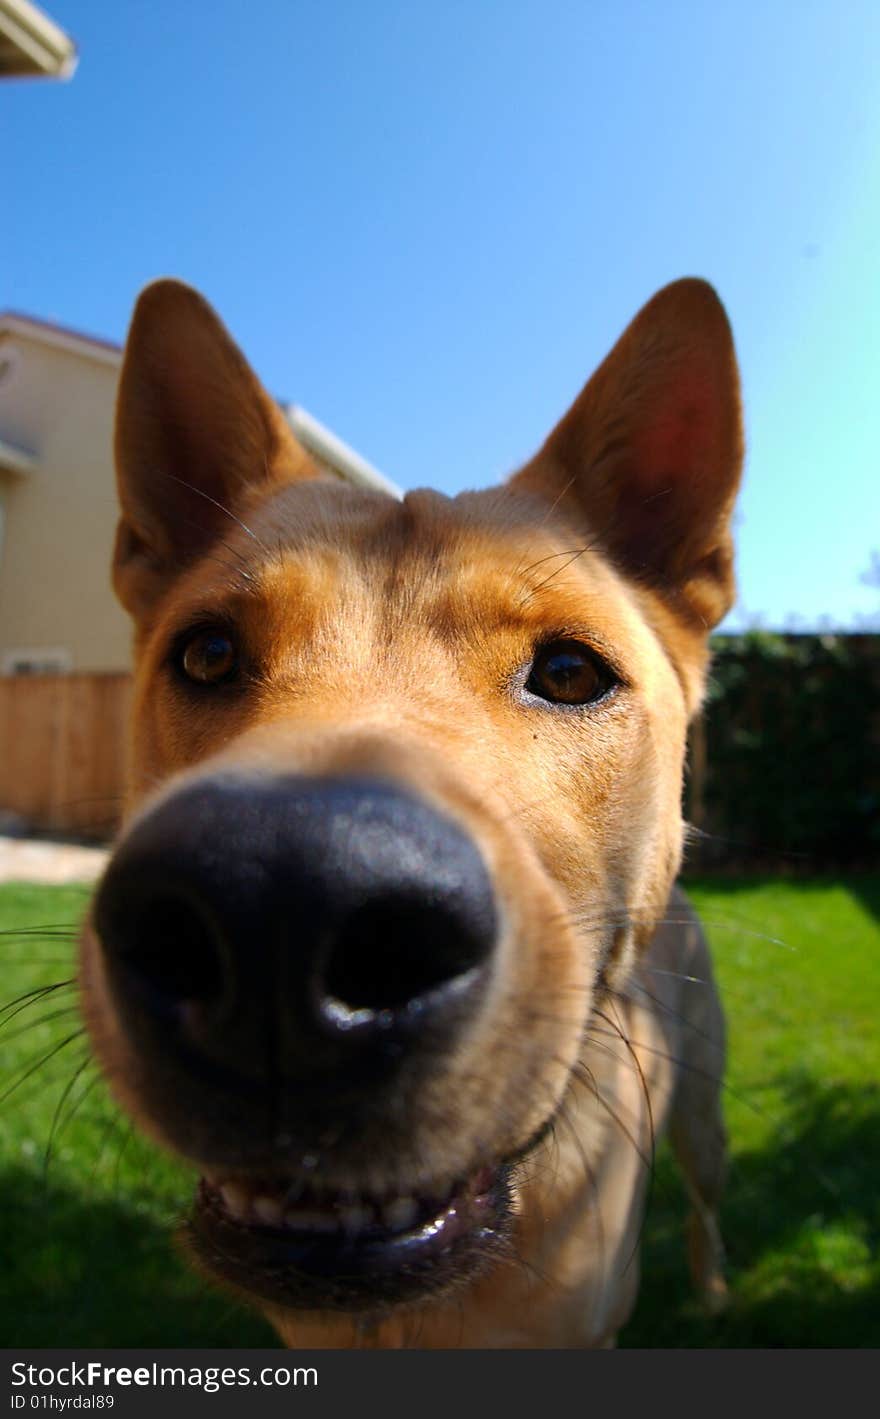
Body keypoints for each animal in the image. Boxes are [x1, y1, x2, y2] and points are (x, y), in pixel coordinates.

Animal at [77, 273, 743, 1339]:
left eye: (569, 672)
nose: (277, 902)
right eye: (208, 653)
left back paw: (716, 1288)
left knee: (709, 1199)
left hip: (706, 1114)